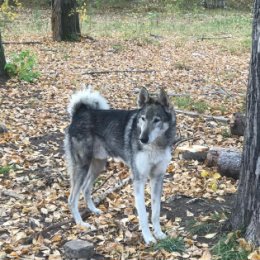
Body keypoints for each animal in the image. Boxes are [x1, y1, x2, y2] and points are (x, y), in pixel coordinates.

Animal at [64, 87, 177, 244]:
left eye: (156, 120)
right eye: (143, 118)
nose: (142, 139)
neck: (155, 145)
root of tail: (79, 113)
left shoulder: (157, 178)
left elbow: (155, 211)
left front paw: (159, 233)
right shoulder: (139, 180)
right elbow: (143, 214)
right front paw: (148, 238)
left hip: (98, 165)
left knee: (86, 188)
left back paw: (93, 210)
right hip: (82, 167)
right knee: (72, 199)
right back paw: (81, 223)